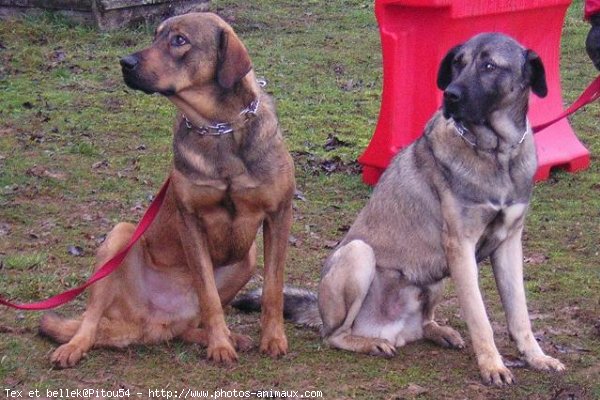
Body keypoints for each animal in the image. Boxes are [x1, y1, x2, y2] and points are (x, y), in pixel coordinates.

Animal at [38, 11, 296, 368]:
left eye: (179, 40)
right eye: (156, 35)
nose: (125, 62)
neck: (219, 128)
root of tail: (153, 323)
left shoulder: (278, 214)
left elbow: (273, 288)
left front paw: (272, 339)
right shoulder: (191, 219)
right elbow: (208, 294)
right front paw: (219, 345)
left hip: (247, 258)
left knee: (187, 327)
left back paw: (227, 336)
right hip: (120, 237)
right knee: (90, 317)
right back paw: (74, 346)